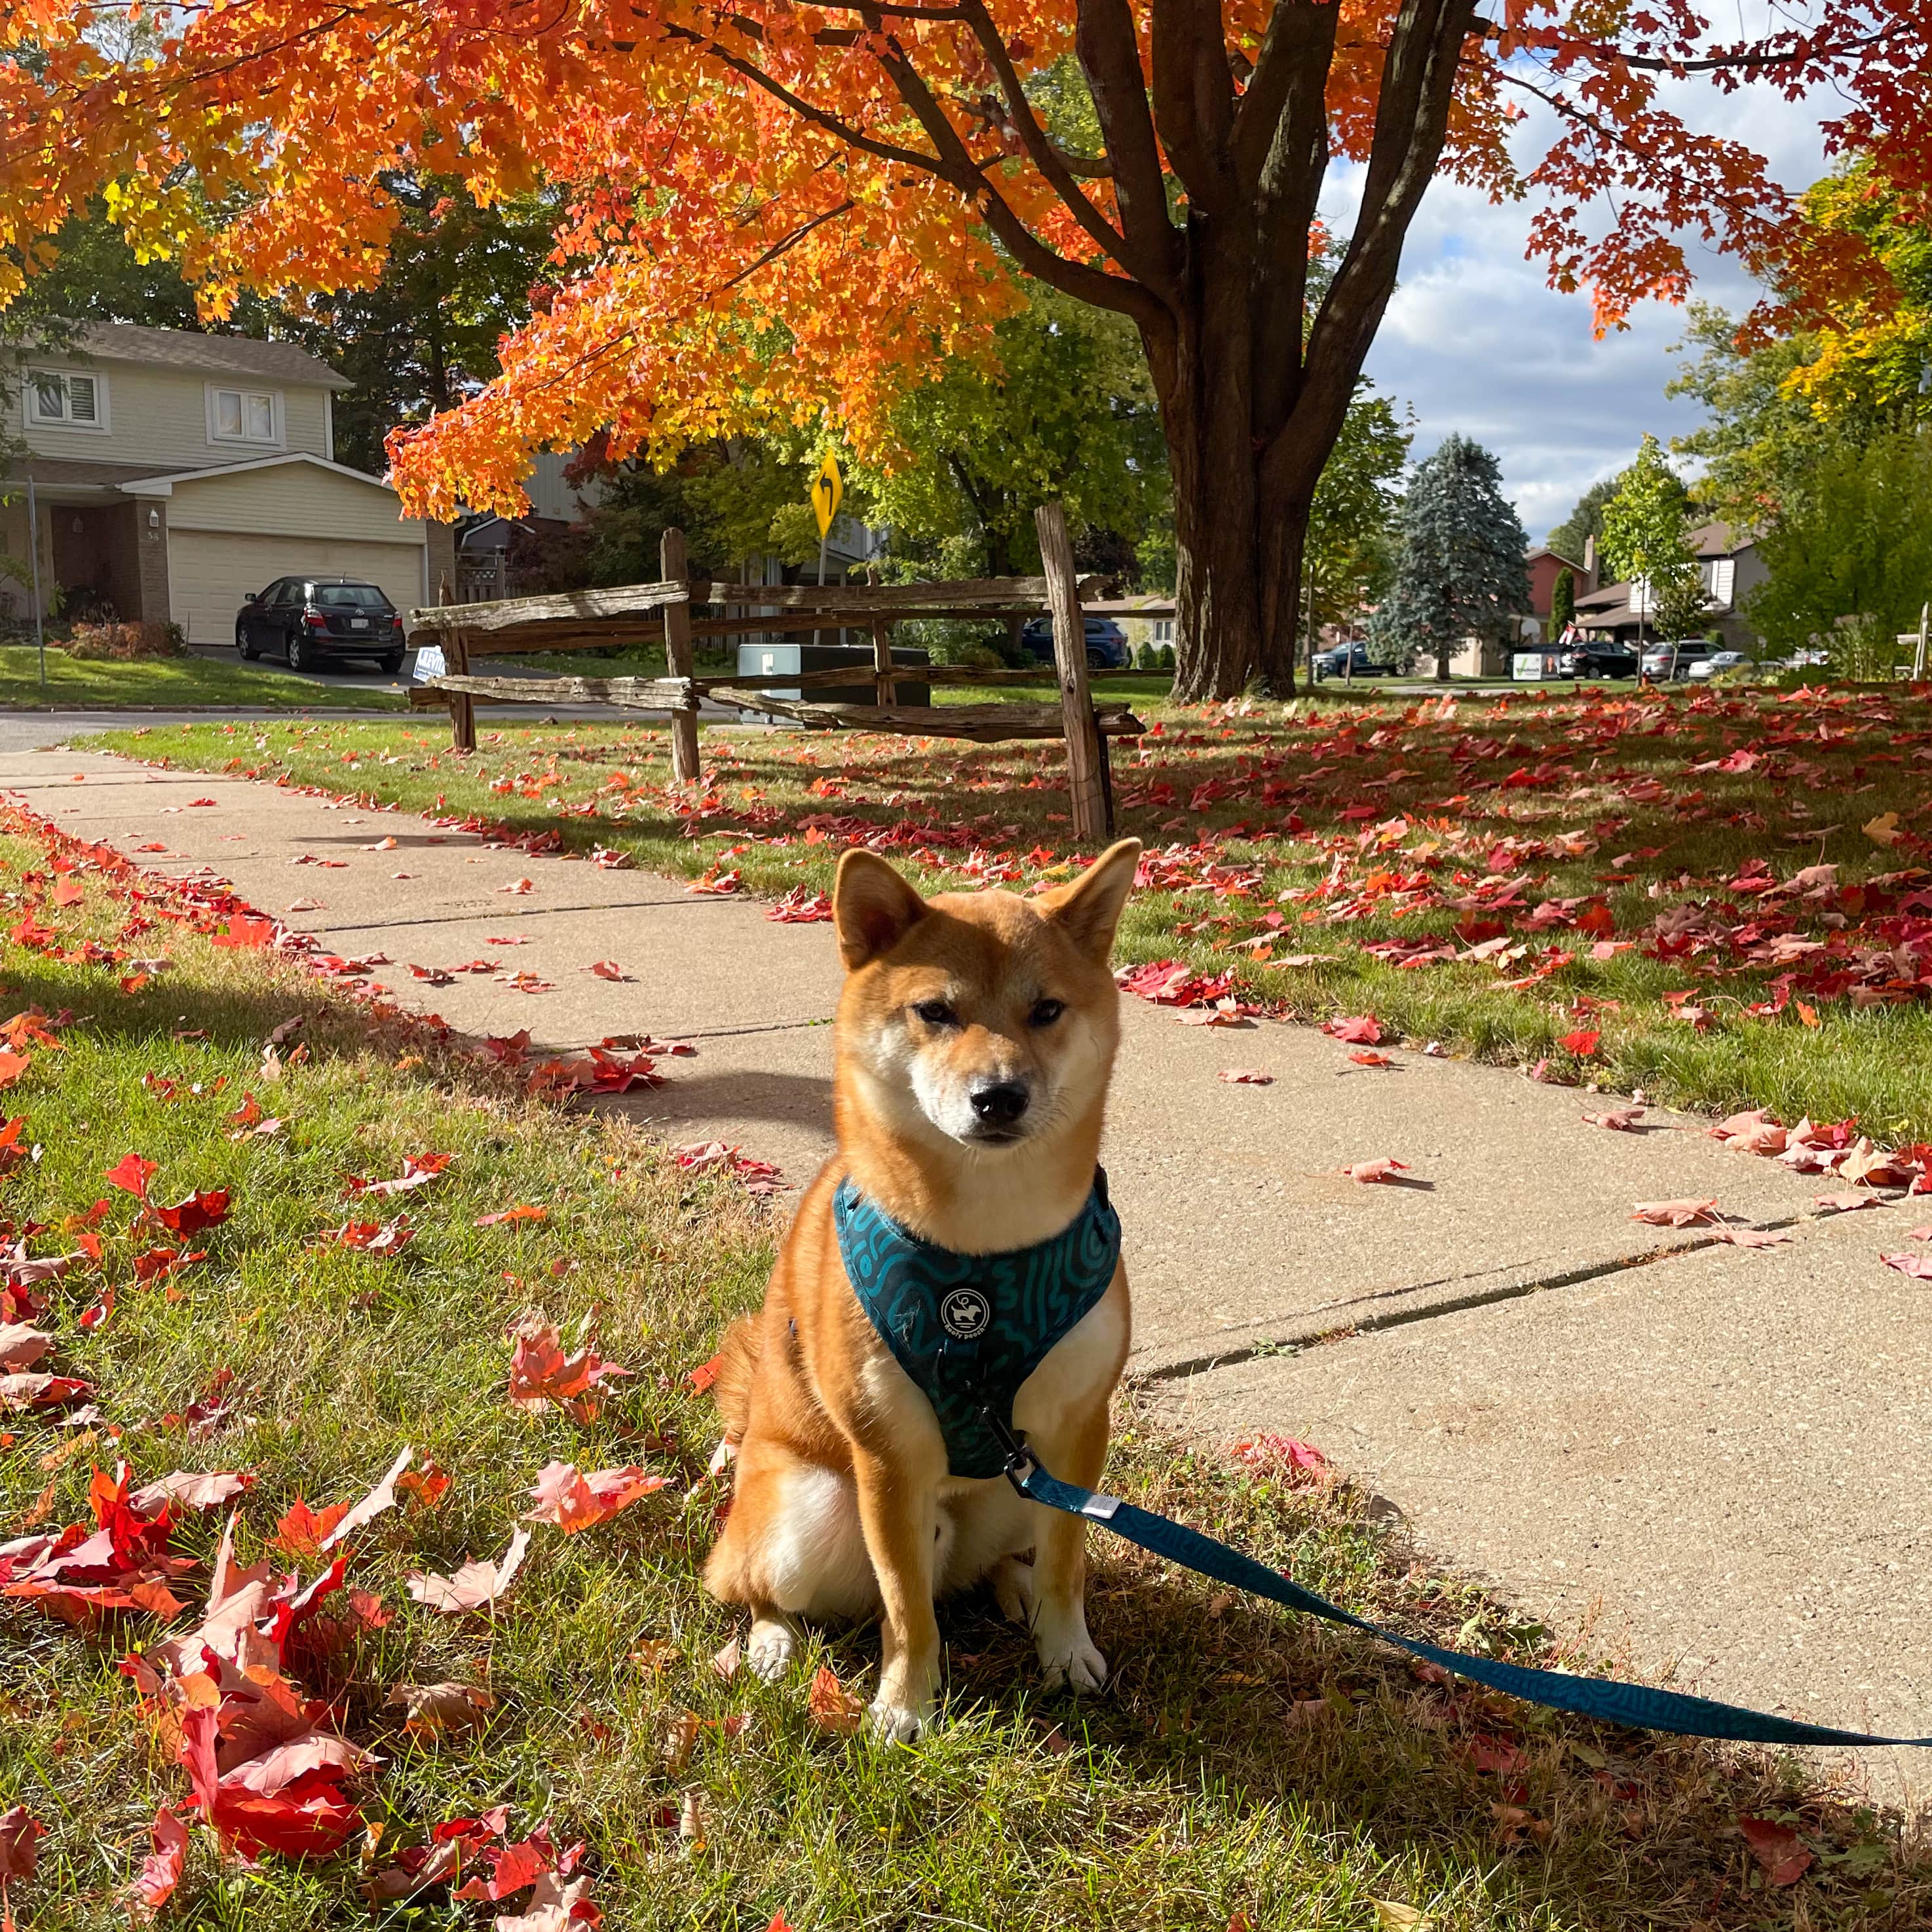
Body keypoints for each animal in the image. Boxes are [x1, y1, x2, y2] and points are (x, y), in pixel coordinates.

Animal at [703, 838, 1136, 1746]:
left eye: (1047, 1010)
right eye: (935, 1011)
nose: (999, 1096)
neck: (985, 1253)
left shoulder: (1080, 1426)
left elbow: (1069, 1565)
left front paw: (1064, 1648)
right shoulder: (888, 1457)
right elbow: (907, 1610)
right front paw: (905, 1705)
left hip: (1019, 1486)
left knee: (1002, 1559)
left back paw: (1010, 1590)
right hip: (807, 1510)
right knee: (759, 1588)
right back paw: (770, 1644)